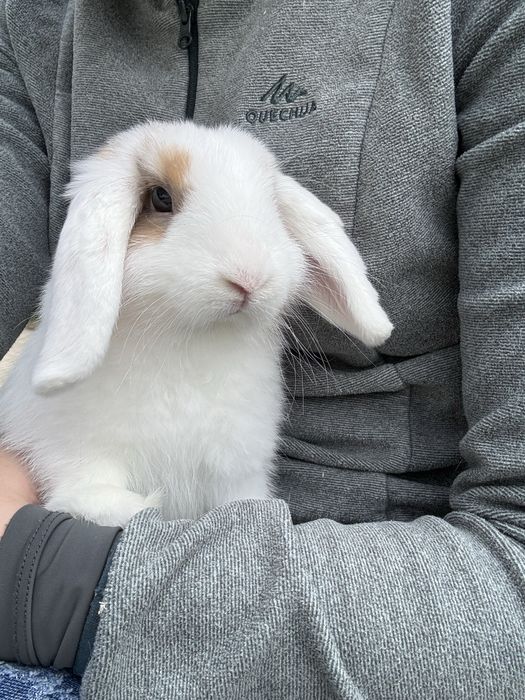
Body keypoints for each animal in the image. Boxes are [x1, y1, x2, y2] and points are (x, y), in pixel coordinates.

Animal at [0, 120, 393, 527]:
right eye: (161, 197)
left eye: (271, 203)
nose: (250, 277)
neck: (191, 339)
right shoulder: (75, 453)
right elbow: (90, 492)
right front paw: (134, 508)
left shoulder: (237, 469)